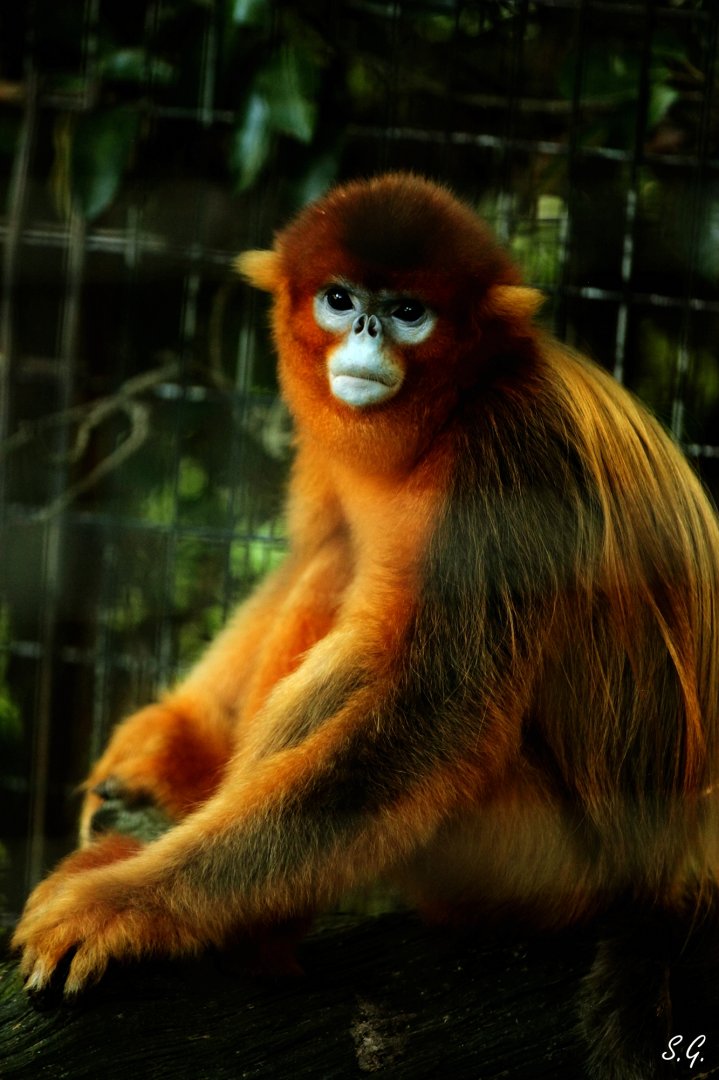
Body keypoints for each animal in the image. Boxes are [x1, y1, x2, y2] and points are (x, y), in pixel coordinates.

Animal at [12, 173, 719, 1078]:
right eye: (339, 300)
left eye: (410, 312)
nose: (367, 333)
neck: (452, 408)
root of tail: (677, 870)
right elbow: (309, 557)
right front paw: (163, 749)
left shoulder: (510, 456)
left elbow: (432, 720)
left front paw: (125, 905)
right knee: (337, 570)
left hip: (542, 867)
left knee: (371, 665)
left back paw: (254, 944)